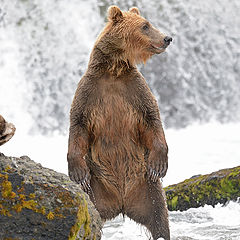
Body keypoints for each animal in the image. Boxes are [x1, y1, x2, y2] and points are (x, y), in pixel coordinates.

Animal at [68, 5, 172, 240]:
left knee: (159, 216)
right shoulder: (90, 91)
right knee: (90, 217)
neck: (113, 70)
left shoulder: (134, 90)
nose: (167, 37)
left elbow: (152, 119)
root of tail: (122, 203)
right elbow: (78, 125)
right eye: (145, 25)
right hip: (95, 189)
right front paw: (77, 171)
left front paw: (159, 164)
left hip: (147, 186)